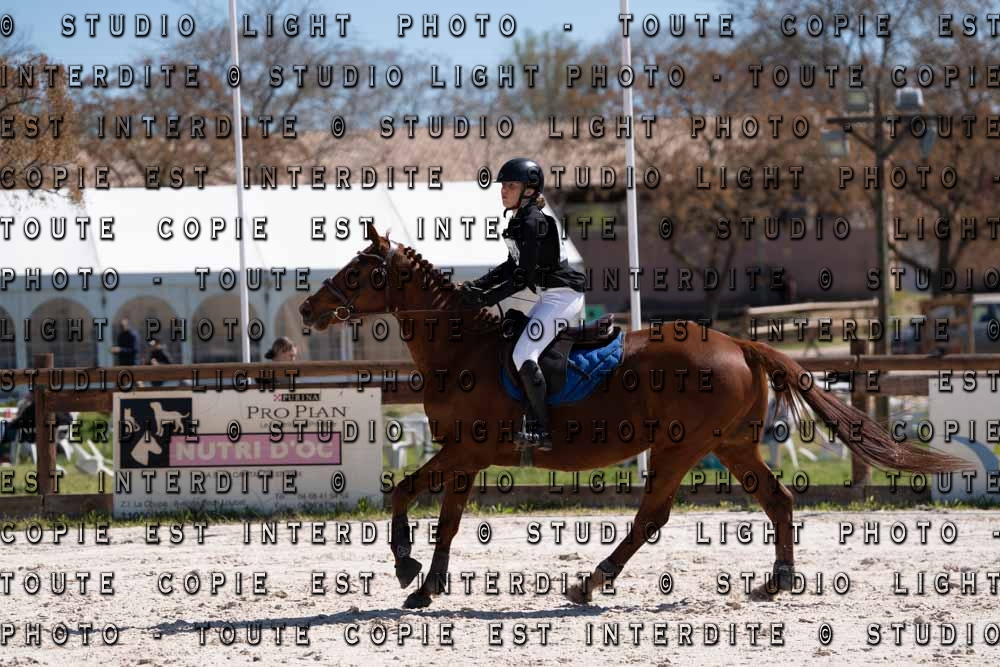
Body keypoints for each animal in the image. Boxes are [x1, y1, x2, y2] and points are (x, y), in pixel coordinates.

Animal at [298, 221, 967, 609]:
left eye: (360, 271)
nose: (308, 309)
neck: (461, 350)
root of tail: (738, 343)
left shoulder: (466, 449)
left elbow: (404, 493)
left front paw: (405, 565)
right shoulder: (463, 454)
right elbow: (449, 519)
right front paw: (428, 585)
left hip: (679, 446)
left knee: (651, 516)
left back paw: (589, 583)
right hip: (730, 444)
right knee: (777, 500)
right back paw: (774, 581)